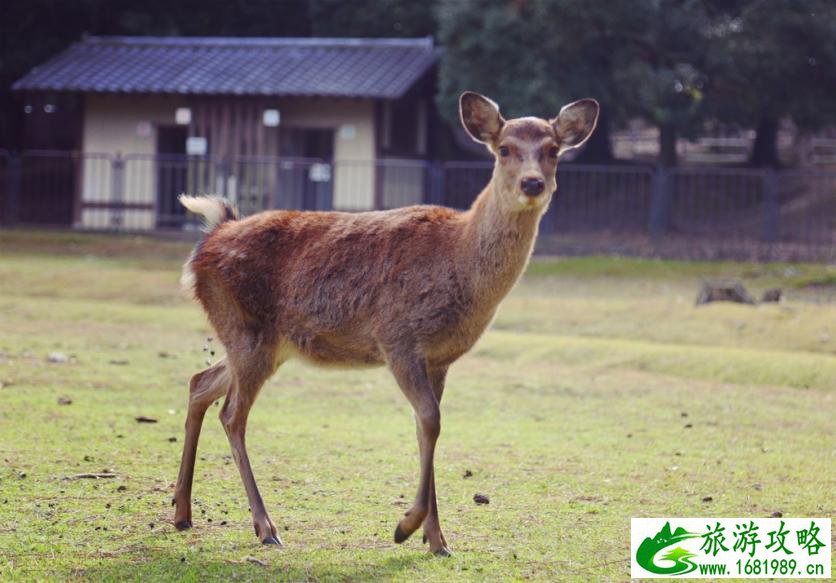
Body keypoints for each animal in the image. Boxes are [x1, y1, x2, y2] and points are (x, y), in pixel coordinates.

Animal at [173, 91, 596, 556]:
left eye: (553, 150)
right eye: (504, 149)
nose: (532, 183)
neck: (460, 260)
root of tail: (210, 238)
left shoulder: (439, 359)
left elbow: (427, 426)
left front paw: (437, 539)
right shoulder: (398, 337)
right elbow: (430, 419)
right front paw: (406, 527)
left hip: (262, 342)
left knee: (199, 383)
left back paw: (181, 511)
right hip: (245, 328)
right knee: (231, 414)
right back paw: (265, 526)